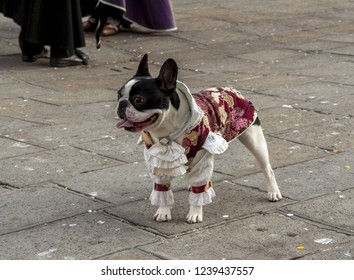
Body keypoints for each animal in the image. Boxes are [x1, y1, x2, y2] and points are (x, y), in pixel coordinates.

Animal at [116, 53, 282, 224]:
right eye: (118, 95)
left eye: (138, 100)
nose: (122, 104)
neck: (166, 132)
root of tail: (232, 89)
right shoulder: (159, 162)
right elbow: (162, 188)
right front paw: (163, 211)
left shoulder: (201, 159)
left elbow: (199, 190)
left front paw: (195, 214)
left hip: (254, 140)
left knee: (267, 168)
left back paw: (273, 192)